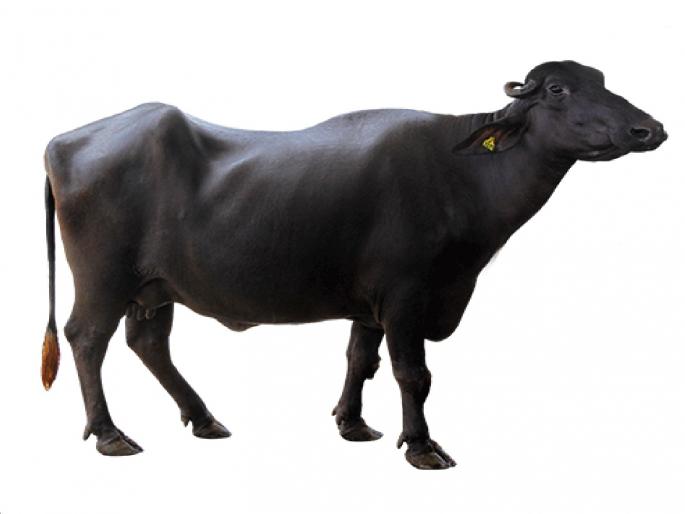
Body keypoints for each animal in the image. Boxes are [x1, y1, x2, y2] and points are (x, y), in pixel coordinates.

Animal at [42, 61, 667, 469]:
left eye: (603, 83)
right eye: (558, 89)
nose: (649, 129)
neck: (462, 174)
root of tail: (65, 141)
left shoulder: (371, 305)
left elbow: (360, 359)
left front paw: (353, 422)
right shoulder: (408, 295)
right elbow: (413, 373)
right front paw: (422, 445)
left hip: (157, 286)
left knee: (148, 343)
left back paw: (203, 418)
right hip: (101, 279)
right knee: (87, 338)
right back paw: (109, 433)